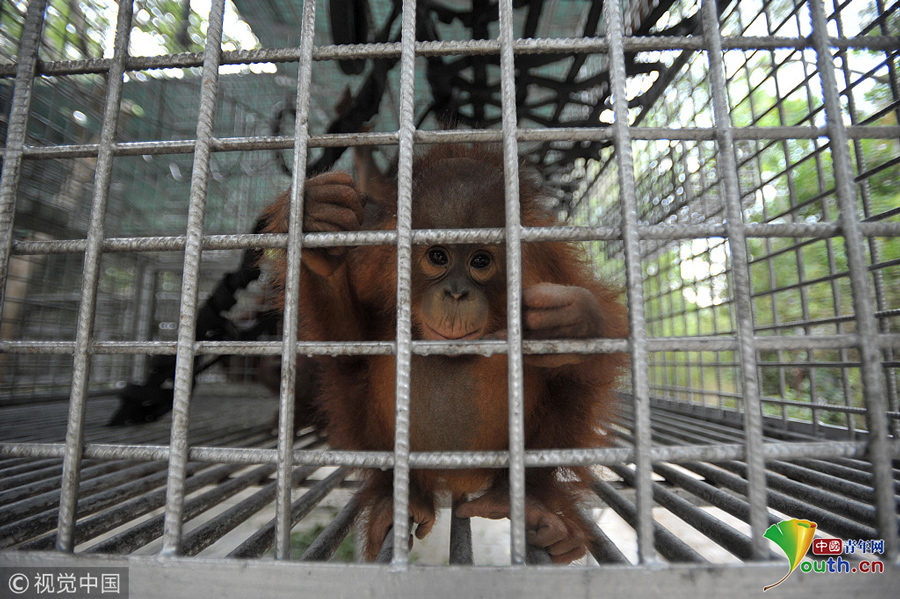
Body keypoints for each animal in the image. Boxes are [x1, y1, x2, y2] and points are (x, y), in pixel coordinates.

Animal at [263, 144, 629, 563]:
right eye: (438, 257)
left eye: (480, 261)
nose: (456, 294)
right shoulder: (378, 267)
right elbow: (350, 344)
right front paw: (321, 231)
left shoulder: (547, 260)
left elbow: (591, 353)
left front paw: (573, 323)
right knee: (351, 382)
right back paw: (398, 497)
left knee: (571, 382)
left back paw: (529, 503)